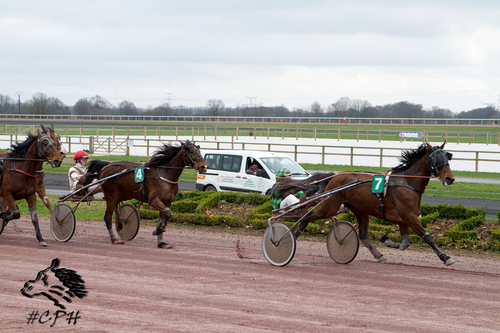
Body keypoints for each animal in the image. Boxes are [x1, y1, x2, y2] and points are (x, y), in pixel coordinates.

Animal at [296, 142, 458, 264]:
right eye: (436, 160)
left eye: (447, 158)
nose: (450, 178)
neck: (407, 183)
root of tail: (335, 176)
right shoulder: (409, 216)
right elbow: (427, 236)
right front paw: (445, 257)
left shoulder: (404, 219)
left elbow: (404, 244)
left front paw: (384, 239)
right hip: (330, 205)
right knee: (306, 217)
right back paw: (293, 236)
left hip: (360, 210)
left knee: (363, 235)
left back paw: (378, 255)